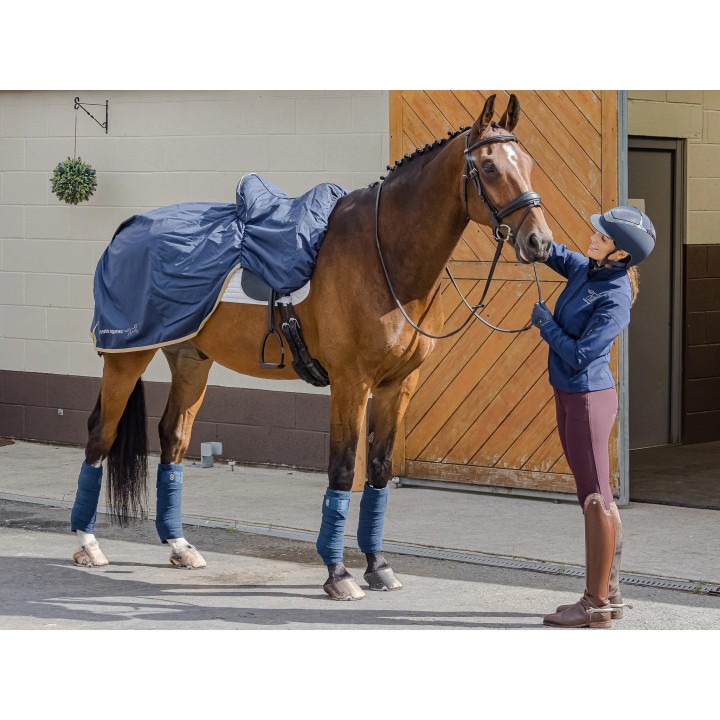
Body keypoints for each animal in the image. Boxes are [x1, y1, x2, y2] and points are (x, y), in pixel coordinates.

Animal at [70, 93, 553, 600]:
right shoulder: (350, 382)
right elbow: (342, 469)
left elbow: (379, 470)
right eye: (490, 167)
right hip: (128, 357)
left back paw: (181, 547)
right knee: (101, 434)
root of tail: (128, 230)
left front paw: (378, 566)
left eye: (528, 163)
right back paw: (88, 545)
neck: (383, 255)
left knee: (173, 439)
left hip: (190, 360)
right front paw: (338, 574)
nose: (539, 242)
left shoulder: (398, 384)